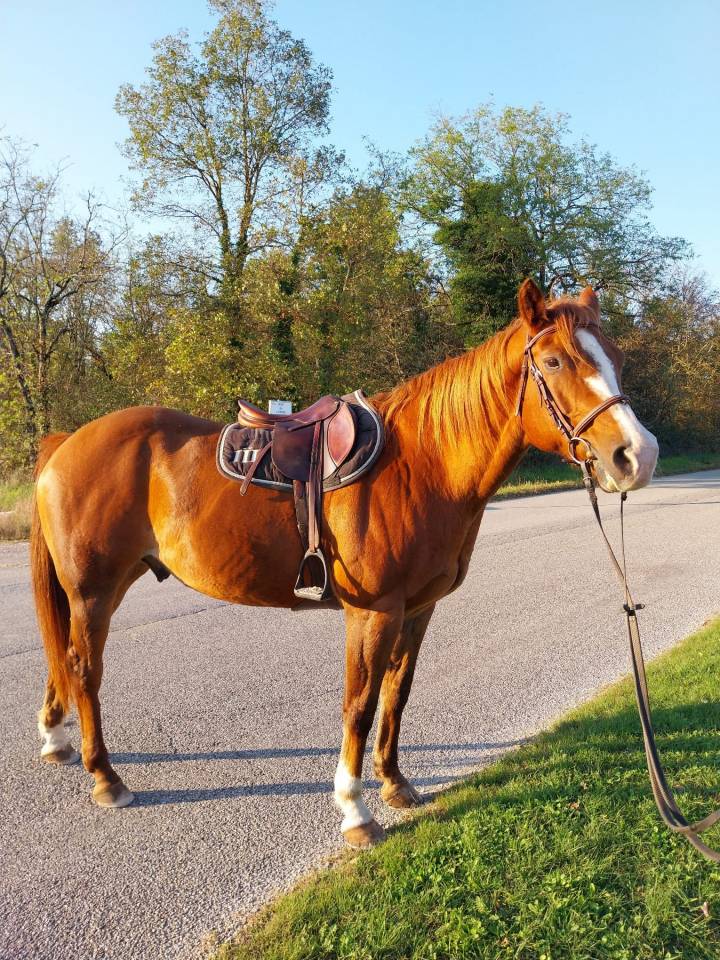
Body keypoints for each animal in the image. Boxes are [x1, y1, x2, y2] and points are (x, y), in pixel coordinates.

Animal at [31, 279, 658, 848]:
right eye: (553, 361)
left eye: (618, 357)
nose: (637, 455)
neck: (423, 466)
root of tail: (64, 444)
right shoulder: (373, 613)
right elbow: (359, 704)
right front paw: (355, 811)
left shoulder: (417, 610)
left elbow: (397, 693)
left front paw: (395, 783)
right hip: (93, 591)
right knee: (84, 669)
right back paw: (106, 777)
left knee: (67, 662)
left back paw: (58, 741)